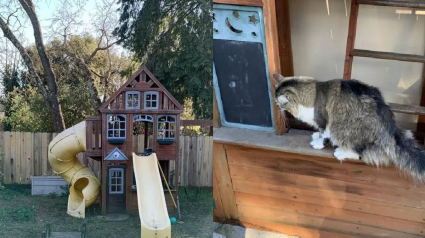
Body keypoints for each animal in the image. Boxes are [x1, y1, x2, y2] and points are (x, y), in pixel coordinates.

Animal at [272, 73, 424, 179]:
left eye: (279, 104)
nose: (277, 107)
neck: (314, 94)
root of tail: (389, 124)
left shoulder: (325, 122)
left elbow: (323, 134)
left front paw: (318, 144)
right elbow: (319, 132)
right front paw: (315, 136)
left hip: (343, 128)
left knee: (360, 153)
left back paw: (341, 152)